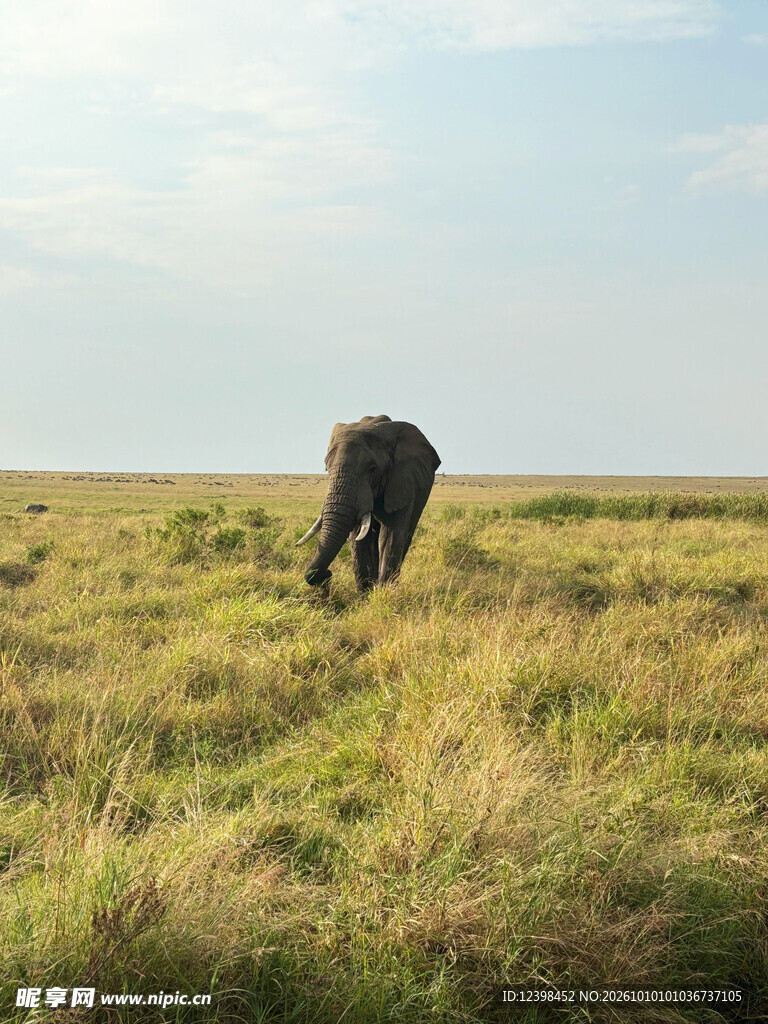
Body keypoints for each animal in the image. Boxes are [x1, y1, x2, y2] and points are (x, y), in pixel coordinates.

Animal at [296, 415, 440, 591]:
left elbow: (391, 536)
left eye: (372, 469)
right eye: (326, 469)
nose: (327, 575)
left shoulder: (401, 481)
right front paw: (366, 593)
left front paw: (384, 592)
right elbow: (359, 538)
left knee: (406, 535)